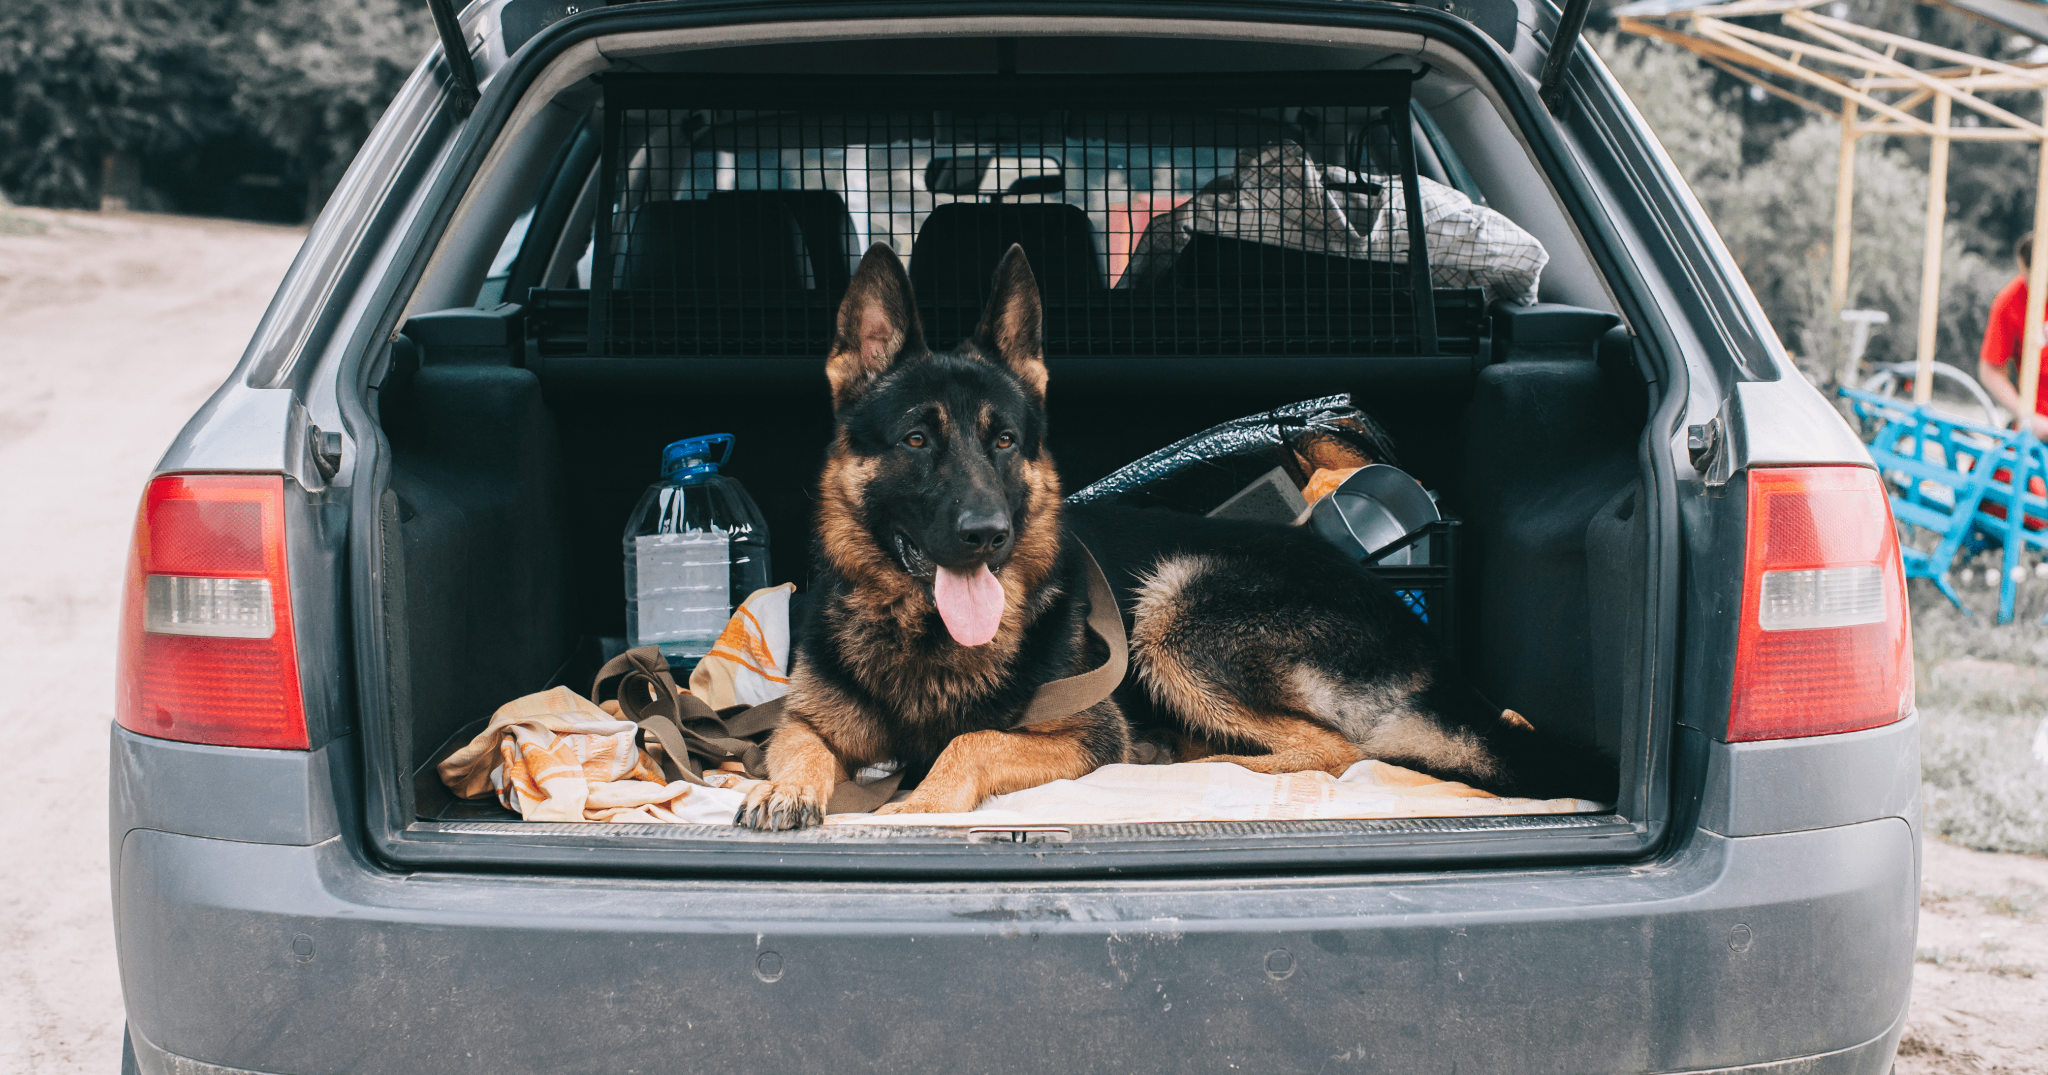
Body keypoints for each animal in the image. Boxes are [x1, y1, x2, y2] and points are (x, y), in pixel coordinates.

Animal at [737, 244, 1613, 831]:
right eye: (917, 440)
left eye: (1006, 442)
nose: (987, 534)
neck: (924, 637)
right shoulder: (805, 720)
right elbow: (802, 746)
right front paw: (785, 789)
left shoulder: (1083, 731)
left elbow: (973, 742)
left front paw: (919, 802)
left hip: (1175, 609)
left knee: (1333, 746)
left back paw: (1192, 755)